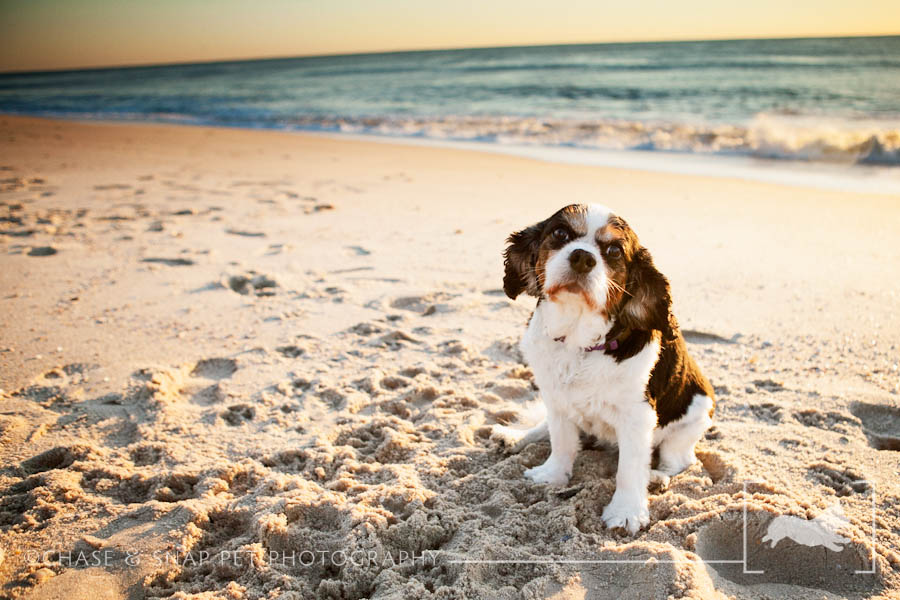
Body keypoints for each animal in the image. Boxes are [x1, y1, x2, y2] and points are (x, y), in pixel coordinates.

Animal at [492, 204, 716, 532]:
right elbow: (561, 441)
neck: (578, 343)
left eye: (613, 251)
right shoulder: (556, 398)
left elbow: (630, 468)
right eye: (560, 233)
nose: (582, 257)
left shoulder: (638, 416)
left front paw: (626, 511)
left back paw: (657, 476)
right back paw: (516, 437)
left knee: (678, 460)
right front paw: (552, 475)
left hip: (695, 415)